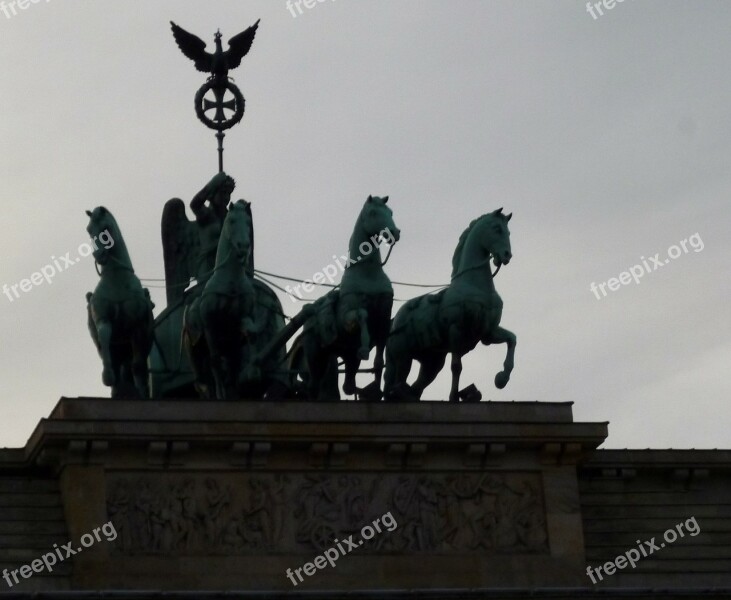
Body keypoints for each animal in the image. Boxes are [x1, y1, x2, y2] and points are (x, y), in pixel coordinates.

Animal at [86, 206, 154, 398]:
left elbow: (138, 367)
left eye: (105, 227)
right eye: (89, 230)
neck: (116, 278)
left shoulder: (137, 327)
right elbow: (104, 336)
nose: (99, 255)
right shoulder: (104, 320)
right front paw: (107, 375)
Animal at [183, 199, 258, 400]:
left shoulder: (239, 322)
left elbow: (238, 357)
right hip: (194, 347)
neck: (231, 282)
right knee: (202, 375)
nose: (243, 246)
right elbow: (216, 361)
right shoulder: (210, 325)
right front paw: (222, 394)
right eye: (231, 221)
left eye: (248, 222)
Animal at [386, 209, 516, 400]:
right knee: (395, 385)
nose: (507, 255)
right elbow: (456, 366)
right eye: (496, 229)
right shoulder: (456, 329)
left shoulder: (488, 332)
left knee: (416, 387)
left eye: (508, 232)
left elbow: (512, 339)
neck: (475, 285)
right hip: (402, 357)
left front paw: (502, 378)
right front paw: (454, 396)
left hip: (431, 362)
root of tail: (394, 322)